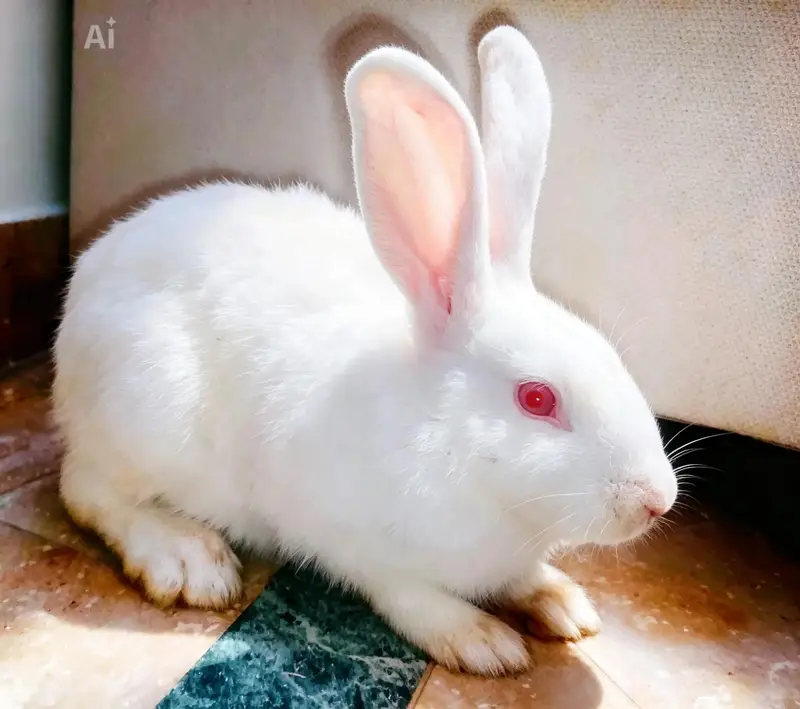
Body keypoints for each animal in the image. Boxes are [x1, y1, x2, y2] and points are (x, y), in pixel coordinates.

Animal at [53, 25, 677, 677]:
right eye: (536, 398)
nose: (657, 501)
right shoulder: (353, 542)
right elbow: (407, 595)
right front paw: (482, 641)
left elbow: (523, 579)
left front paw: (562, 603)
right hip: (144, 414)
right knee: (86, 490)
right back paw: (187, 560)